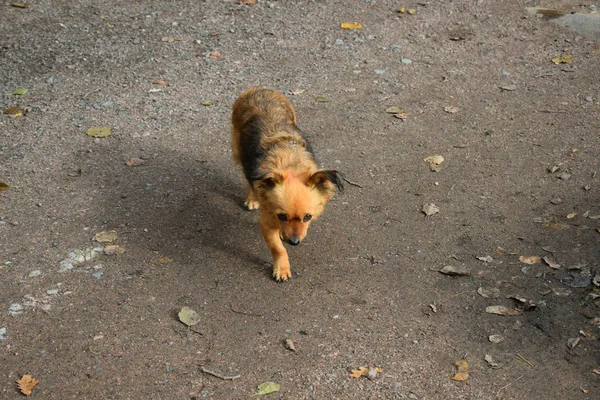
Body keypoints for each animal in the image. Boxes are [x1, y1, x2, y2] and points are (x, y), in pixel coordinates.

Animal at [231, 87, 342, 282]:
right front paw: (281, 268)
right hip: (240, 150)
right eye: (282, 216)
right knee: (248, 178)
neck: (290, 164)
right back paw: (252, 198)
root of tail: (259, 89)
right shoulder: (267, 222)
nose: (294, 242)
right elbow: (278, 249)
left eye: (308, 217)